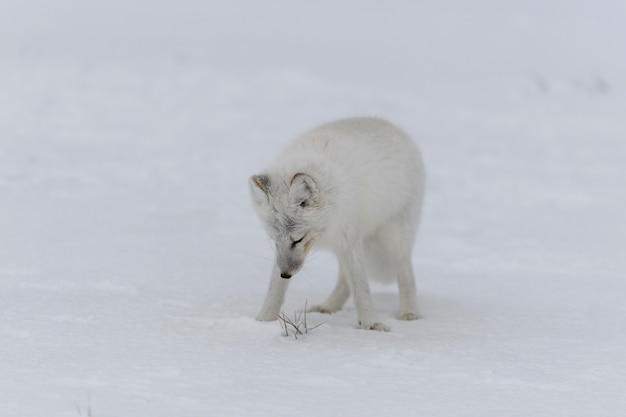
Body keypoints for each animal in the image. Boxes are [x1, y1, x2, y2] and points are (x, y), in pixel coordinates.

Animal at [249, 117, 424, 332]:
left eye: (298, 239)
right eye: (273, 241)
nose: (286, 274)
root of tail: (390, 124)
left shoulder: (349, 239)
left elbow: (361, 285)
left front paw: (371, 324)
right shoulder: (286, 253)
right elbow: (274, 289)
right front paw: (263, 320)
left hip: (395, 238)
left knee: (405, 273)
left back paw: (410, 313)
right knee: (344, 282)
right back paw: (327, 307)